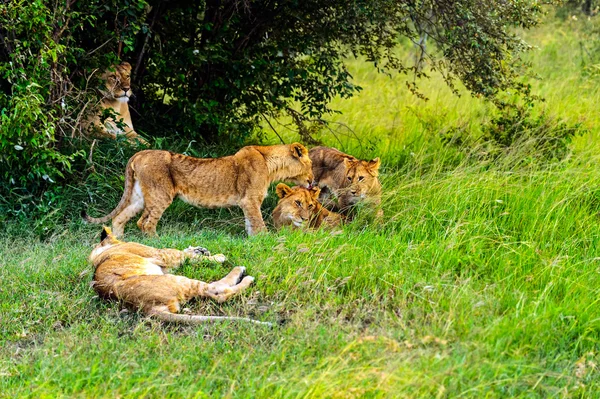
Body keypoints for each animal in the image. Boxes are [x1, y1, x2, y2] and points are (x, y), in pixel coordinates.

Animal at [83, 144, 314, 238]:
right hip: (161, 194)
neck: (272, 165)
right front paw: (265, 241)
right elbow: (258, 225)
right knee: (144, 222)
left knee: (119, 217)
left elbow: (250, 224)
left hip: (139, 196)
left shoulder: (246, 202)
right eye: (311, 164)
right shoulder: (250, 199)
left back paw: (118, 243)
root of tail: (140, 153)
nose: (312, 181)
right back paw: (157, 242)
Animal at [89, 227, 270, 326]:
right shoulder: (163, 255)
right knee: (217, 292)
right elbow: (182, 254)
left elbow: (187, 253)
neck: (100, 252)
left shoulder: (165, 265)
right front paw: (217, 257)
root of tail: (146, 308)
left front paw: (199, 249)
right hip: (180, 280)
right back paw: (243, 274)